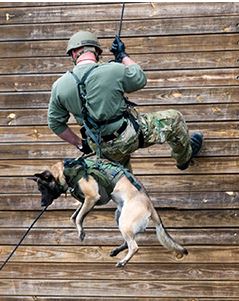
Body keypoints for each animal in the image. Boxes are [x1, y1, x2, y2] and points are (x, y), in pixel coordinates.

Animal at [29, 156, 188, 266]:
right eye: (39, 189)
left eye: (43, 188)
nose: (42, 204)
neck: (65, 172)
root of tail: (151, 206)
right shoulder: (86, 201)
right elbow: (74, 216)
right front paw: (79, 228)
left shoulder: (92, 197)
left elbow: (79, 217)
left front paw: (80, 232)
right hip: (120, 217)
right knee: (129, 241)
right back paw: (117, 251)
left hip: (124, 221)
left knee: (134, 246)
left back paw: (123, 261)